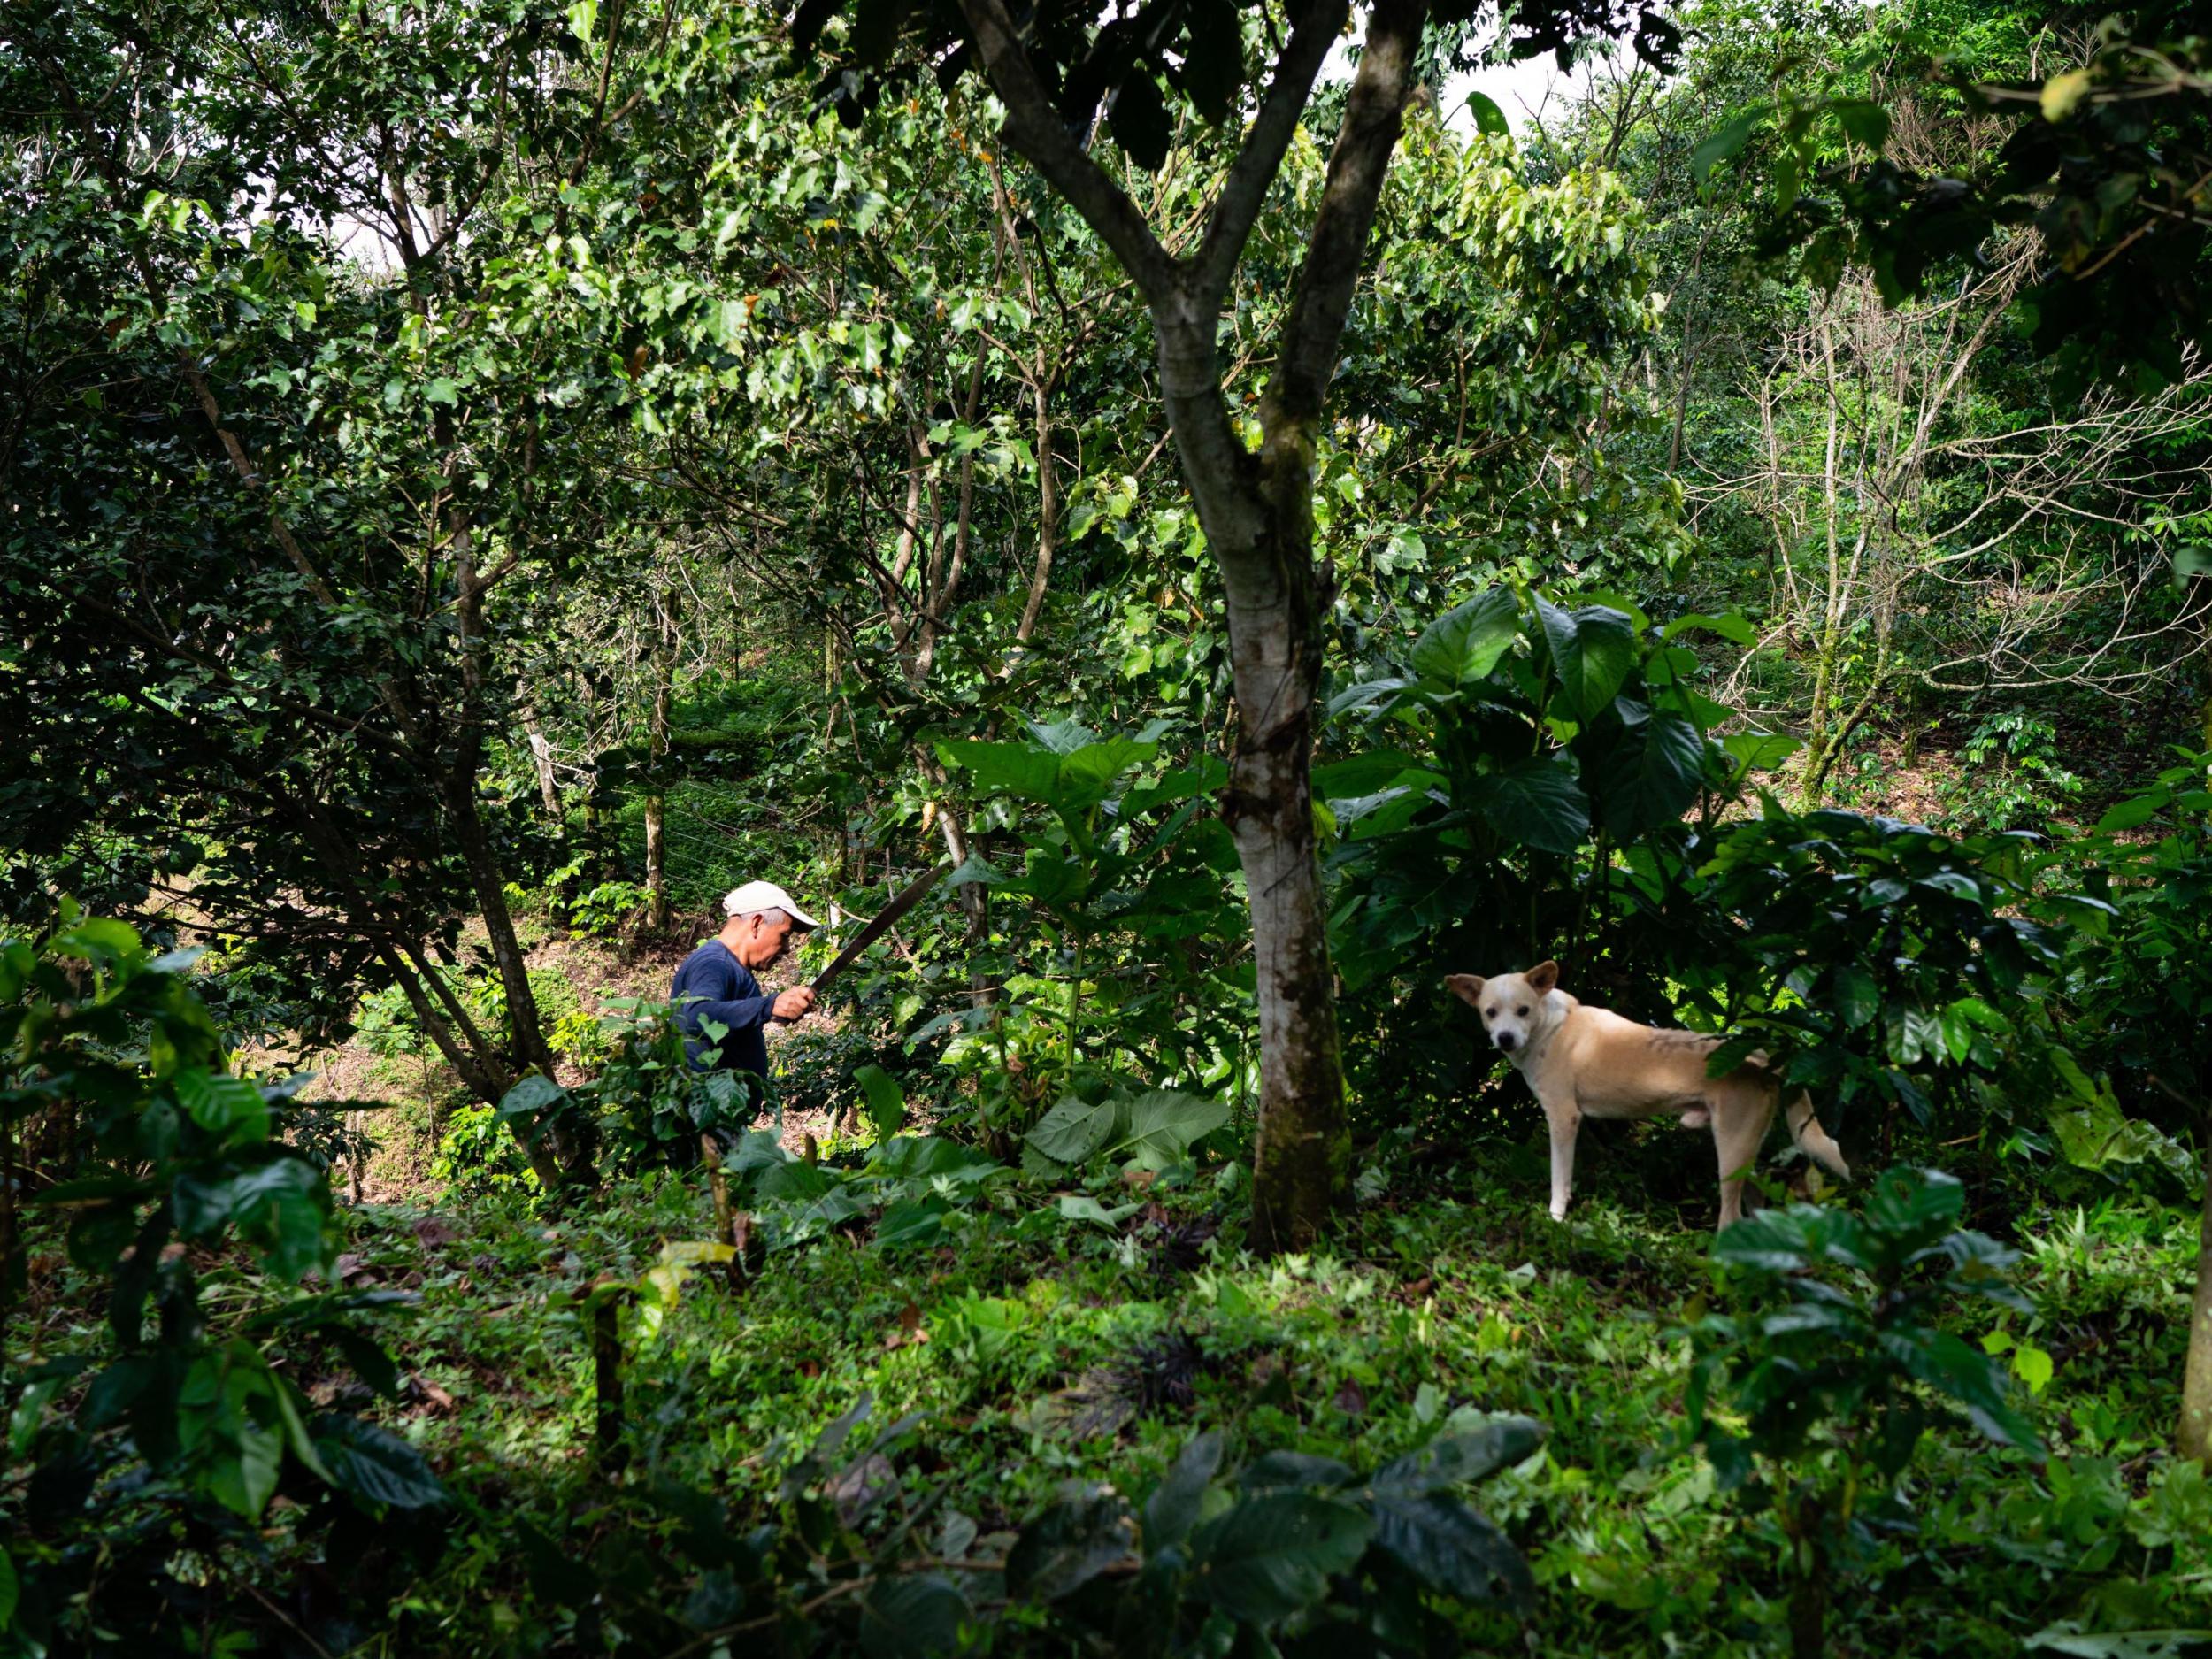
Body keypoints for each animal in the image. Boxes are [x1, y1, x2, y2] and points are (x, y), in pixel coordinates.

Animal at [1451, 960, 1849, 1239]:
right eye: (1489, 1012)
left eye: (1523, 1010)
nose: (1504, 1038)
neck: (1550, 1028)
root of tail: (1766, 1060)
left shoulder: (1564, 1118)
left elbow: (1559, 1180)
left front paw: (1555, 1220)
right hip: (1744, 1148)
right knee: (1753, 1199)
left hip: (1731, 1145)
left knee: (1730, 1215)